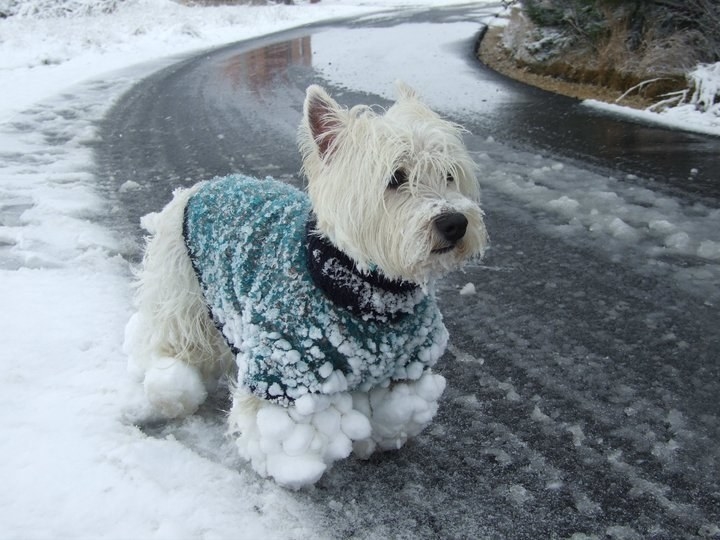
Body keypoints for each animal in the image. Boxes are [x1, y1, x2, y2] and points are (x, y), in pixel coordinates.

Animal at [125, 81, 490, 490]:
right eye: (396, 178)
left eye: (449, 174)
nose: (455, 223)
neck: (364, 289)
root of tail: (202, 186)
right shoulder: (287, 364)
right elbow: (282, 429)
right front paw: (292, 467)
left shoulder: (407, 363)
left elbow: (395, 407)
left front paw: (382, 438)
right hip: (186, 293)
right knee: (176, 341)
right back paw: (170, 391)